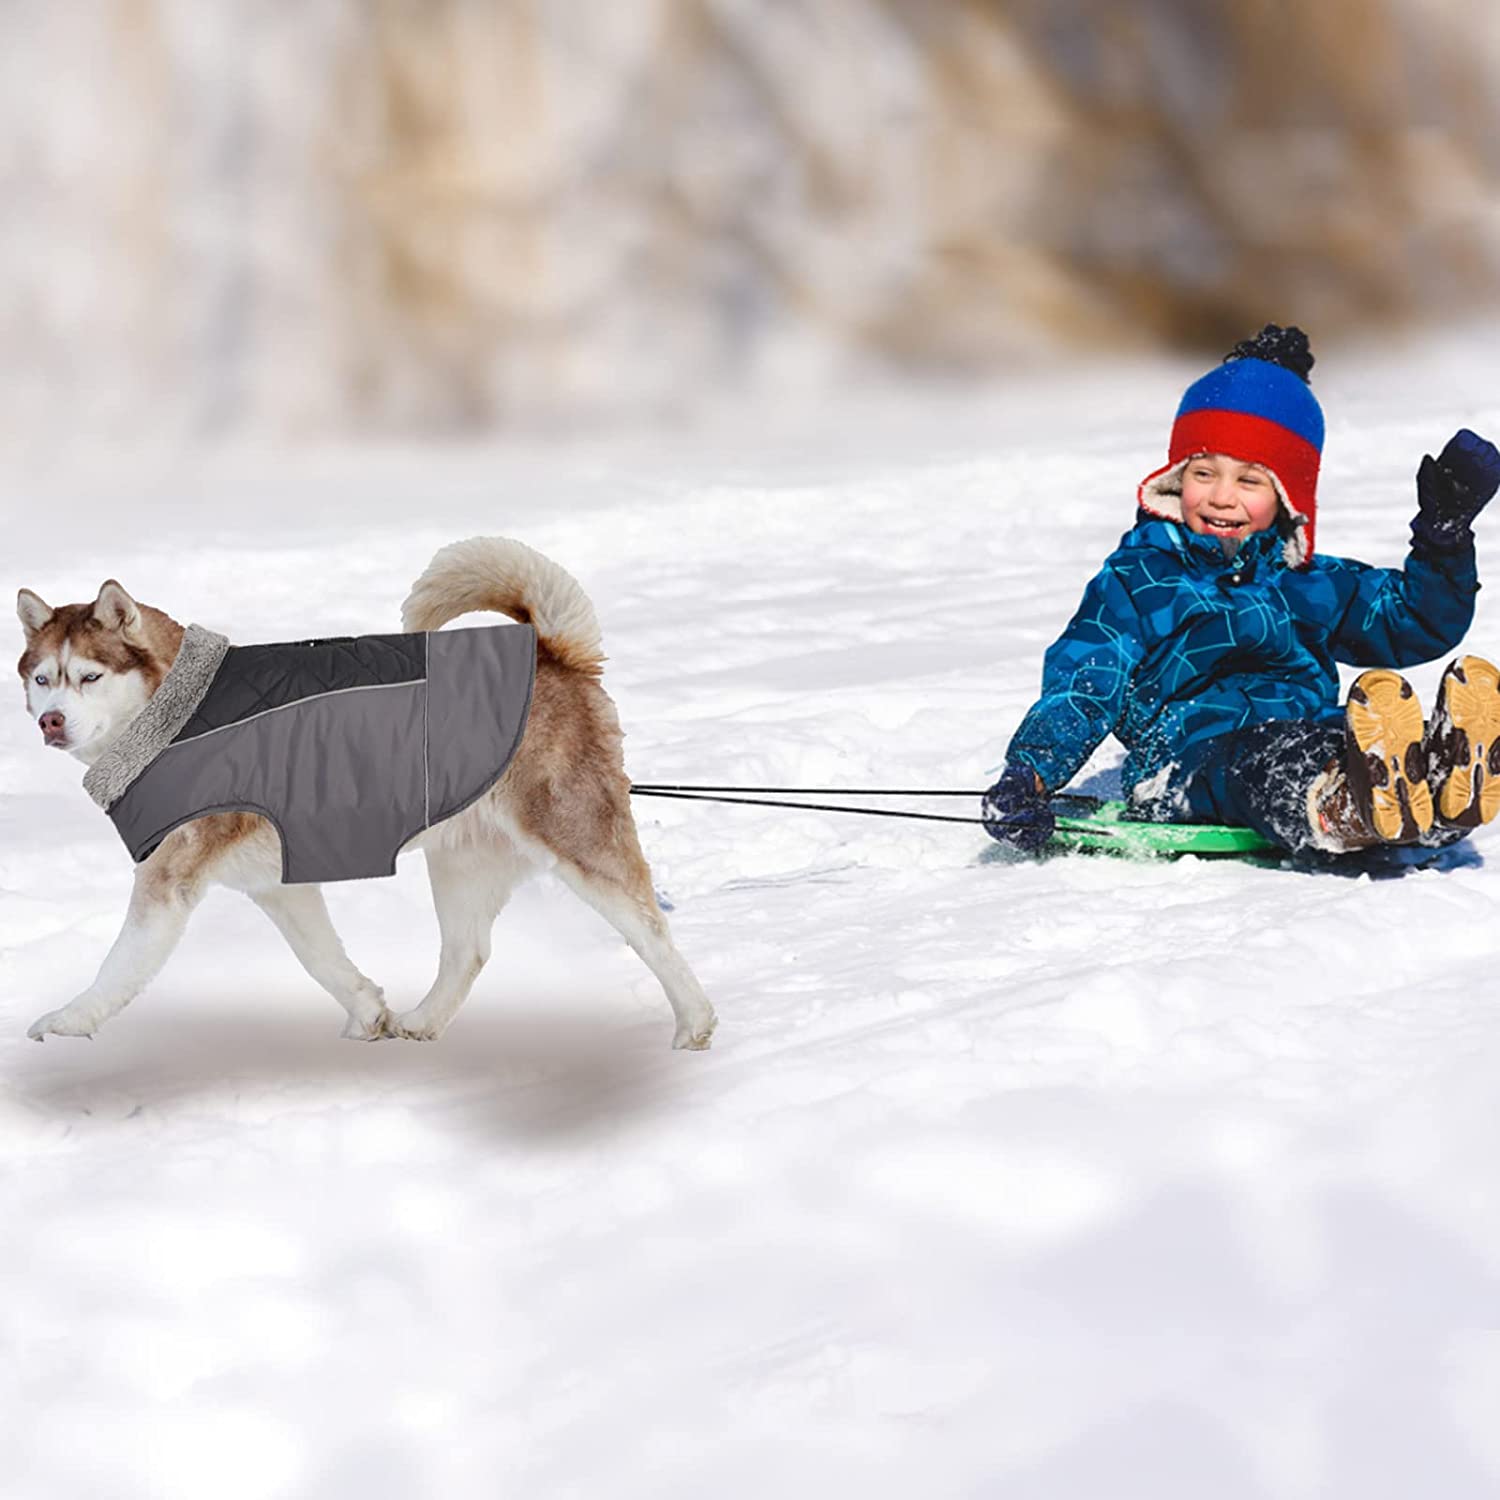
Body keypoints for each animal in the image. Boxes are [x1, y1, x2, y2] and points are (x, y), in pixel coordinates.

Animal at [10, 546, 714, 1050]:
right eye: (42, 679)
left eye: (88, 677)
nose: (50, 722)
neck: (173, 715)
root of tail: (553, 651)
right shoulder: (279, 886)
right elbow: (321, 959)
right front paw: (368, 1009)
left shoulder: (167, 883)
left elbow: (118, 967)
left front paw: (69, 1021)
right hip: (459, 861)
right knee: (468, 951)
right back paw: (423, 1021)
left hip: (576, 841)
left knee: (651, 929)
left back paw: (695, 1022)